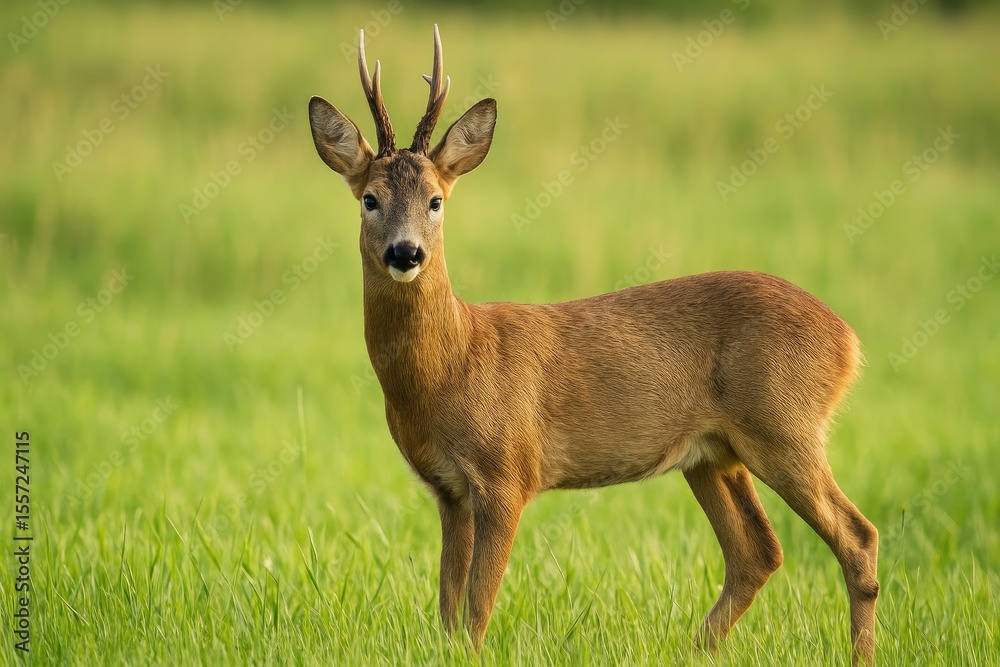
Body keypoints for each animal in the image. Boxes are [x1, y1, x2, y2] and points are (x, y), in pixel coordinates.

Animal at [307, 25, 879, 666]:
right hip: (713, 453)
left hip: (785, 425)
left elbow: (477, 608)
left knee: (857, 536)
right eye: (370, 198)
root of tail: (848, 340)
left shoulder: (508, 470)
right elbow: (448, 612)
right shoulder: (447, 488)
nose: (406, 253)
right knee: (758, 551)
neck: (454, 362)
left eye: (436, 200)